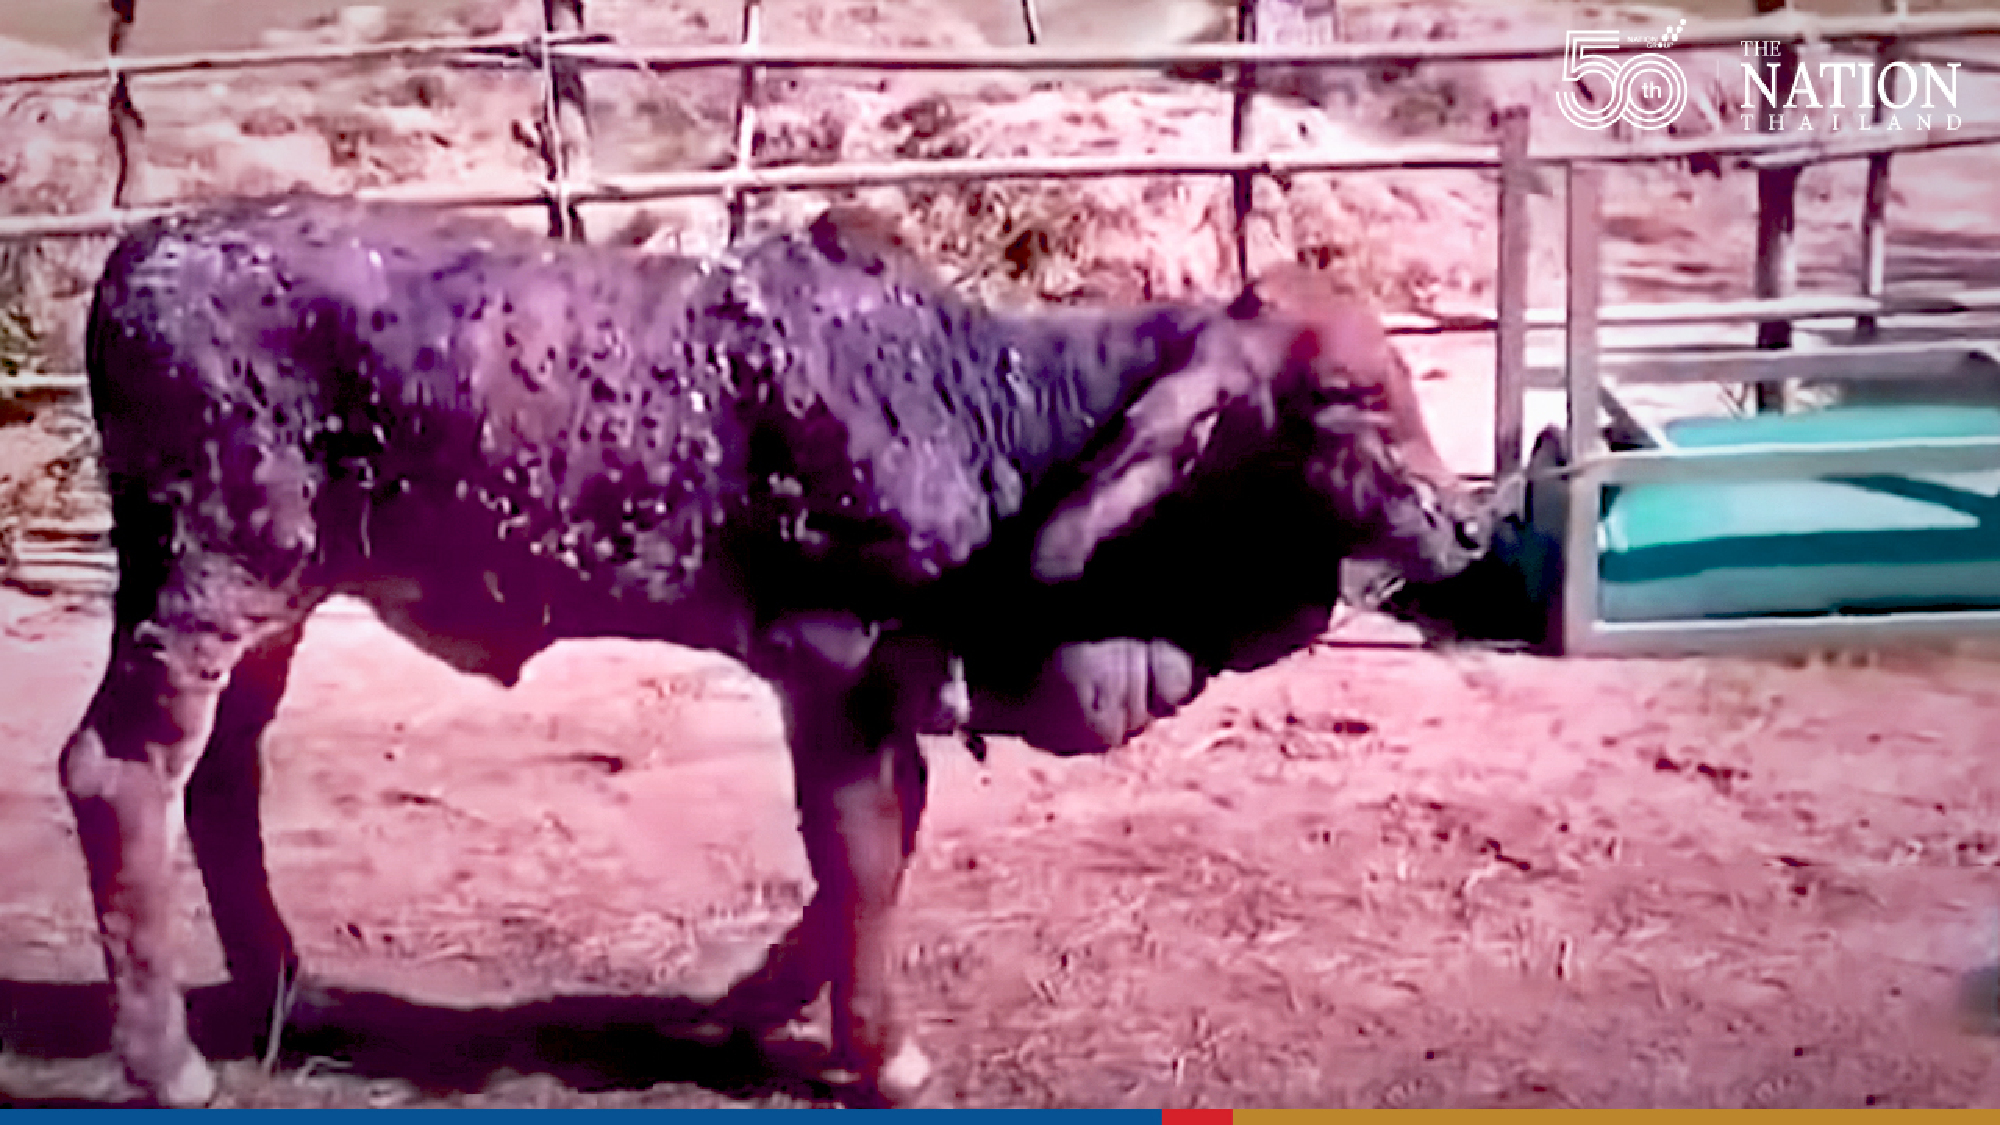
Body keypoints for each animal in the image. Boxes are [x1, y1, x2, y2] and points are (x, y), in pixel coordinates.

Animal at [59, 195, 1489, 1107]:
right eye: (1343, 398)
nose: (1464, 520)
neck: (989, 414)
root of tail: (137, 252)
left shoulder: (887, 675)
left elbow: (884, 840)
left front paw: (742, 1013)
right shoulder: (829, 654)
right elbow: (860, 852)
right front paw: (882, 1057)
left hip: (276, 595)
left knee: (222, 776)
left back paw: (290, 997)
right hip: (214, 571)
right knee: (117, 774)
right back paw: (167, 1063)